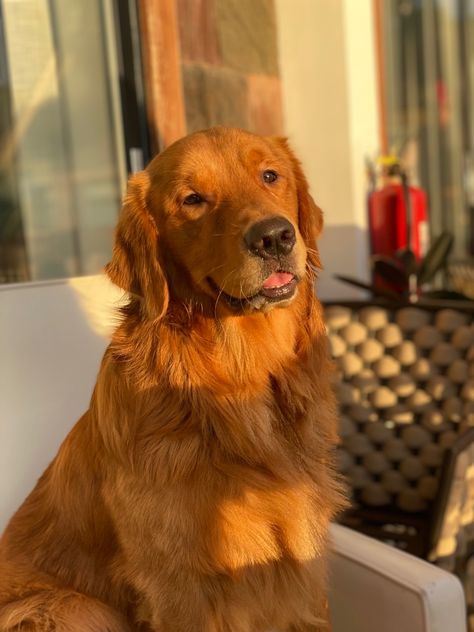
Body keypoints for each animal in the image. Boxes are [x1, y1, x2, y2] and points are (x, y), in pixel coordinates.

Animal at [0, 126, 344, 628]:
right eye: (192, 199)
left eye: (269, 175)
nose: (275, 237)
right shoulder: (180, 585)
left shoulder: (304, 562)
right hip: (71, 607)